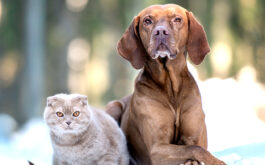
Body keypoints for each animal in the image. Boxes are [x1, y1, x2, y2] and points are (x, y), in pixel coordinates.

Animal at [106, 3, 226, 165]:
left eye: (177, 19)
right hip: (113, 107)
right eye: (147, 21)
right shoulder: (157, 148)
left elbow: (196, 148)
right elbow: (194, 149)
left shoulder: (194, 137)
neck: (170, 86)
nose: (160, 32)